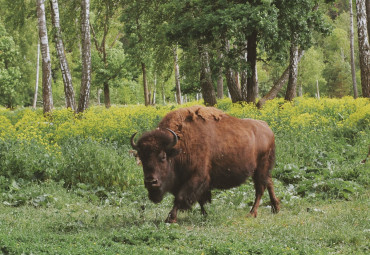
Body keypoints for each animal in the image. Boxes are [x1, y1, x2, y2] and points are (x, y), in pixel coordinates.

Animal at [132, 104, 278, 222]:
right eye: (142, 158)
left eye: (162, 157)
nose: (151, 182)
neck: (179, 146)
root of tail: (267, 128)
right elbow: (200, 199)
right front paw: (204, 214)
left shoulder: (198, 177)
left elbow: (181, 196)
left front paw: (171, 218)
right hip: (263, 169)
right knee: (269, 182)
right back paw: (275, 208)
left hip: (261, 168)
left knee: (260, 189)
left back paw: (252, 213)